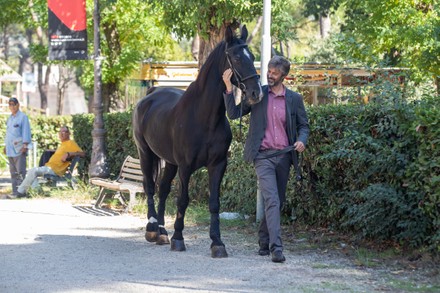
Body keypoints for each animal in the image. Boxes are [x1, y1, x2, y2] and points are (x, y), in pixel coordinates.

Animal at [131, 25, 262, 258]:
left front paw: (217, 242)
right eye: (236, 58)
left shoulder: (217, 165)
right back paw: (152, 228)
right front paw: (178, 238)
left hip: (169, 162)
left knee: (163, 189)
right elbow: (183, 200)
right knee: (149, 186)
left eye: (253, 57)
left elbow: (214, 203)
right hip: (145, 152)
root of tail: (150, 95)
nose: (256, 93)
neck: (205, 117)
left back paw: (162, 231)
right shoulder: (185, 166)